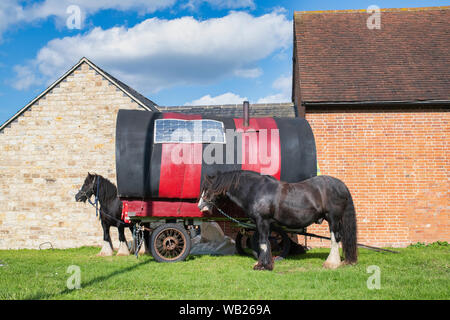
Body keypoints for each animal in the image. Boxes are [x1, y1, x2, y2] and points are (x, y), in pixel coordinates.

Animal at [199, 170, 356, 270]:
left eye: (208, 189)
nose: (201, 206)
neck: (257, 190)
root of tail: (340, 185)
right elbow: (265, 242)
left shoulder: (262, 221)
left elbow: (263, 242)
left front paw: (262, 266)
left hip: (333, 219)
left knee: (335, 238)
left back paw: (331, 264)